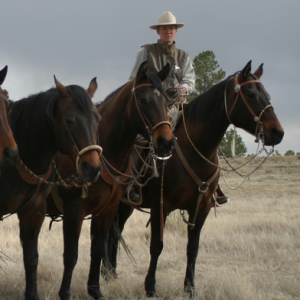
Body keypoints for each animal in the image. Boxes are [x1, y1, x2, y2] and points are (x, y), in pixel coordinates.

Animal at [0, 77, 102, 300]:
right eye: (69, 119)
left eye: (97, 118)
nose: (92, 168)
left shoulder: (34, 211)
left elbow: (31, 258)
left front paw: (32, 294)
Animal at [45, 61, 175, 300]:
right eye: (142, 100)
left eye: (167, 101)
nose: (166, 142)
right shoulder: (74, 212)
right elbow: (71, 255)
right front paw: (65, 293)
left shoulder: (106, 210)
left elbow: (97, 249)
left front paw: (95, 290)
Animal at [105, 61, 284, 298]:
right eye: (250, 94)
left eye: (267, 95)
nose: (277, 132)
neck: (197, 150)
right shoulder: (160, 205)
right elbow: (156, 246)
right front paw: (150, 288)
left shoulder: (202, 207)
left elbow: (193, 248)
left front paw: (190, 288)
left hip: (126, 206)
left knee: (114, 233)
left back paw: (110, 274)